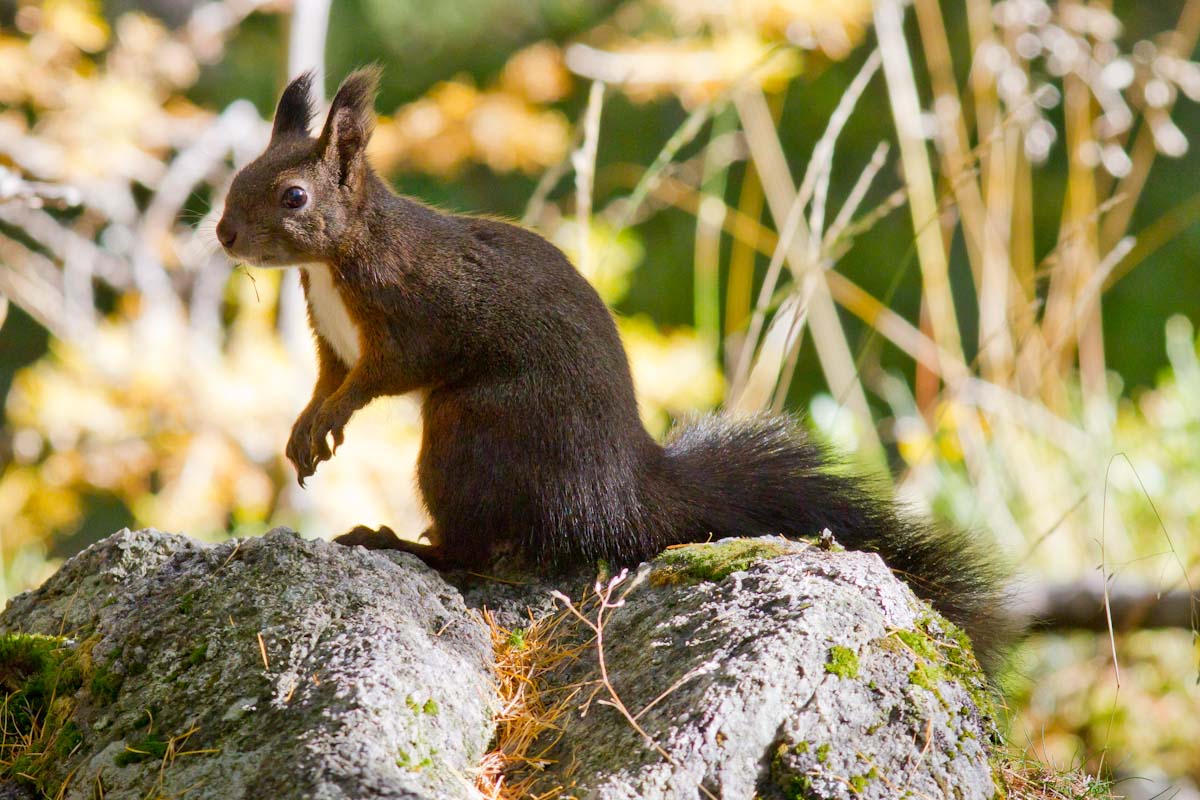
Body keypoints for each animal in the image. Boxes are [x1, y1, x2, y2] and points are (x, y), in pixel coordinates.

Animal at [220, 67, 1017, 671]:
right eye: (238, 175)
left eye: (293, 196)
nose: (223, 234)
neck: (334, 259)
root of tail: (619, 493)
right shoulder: (332, 342)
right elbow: (328, 379)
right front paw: (305, 426)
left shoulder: (410, 311)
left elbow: (378, 377)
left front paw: (330, 420)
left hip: (471, 431)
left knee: (475, 548)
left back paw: (400, 544)